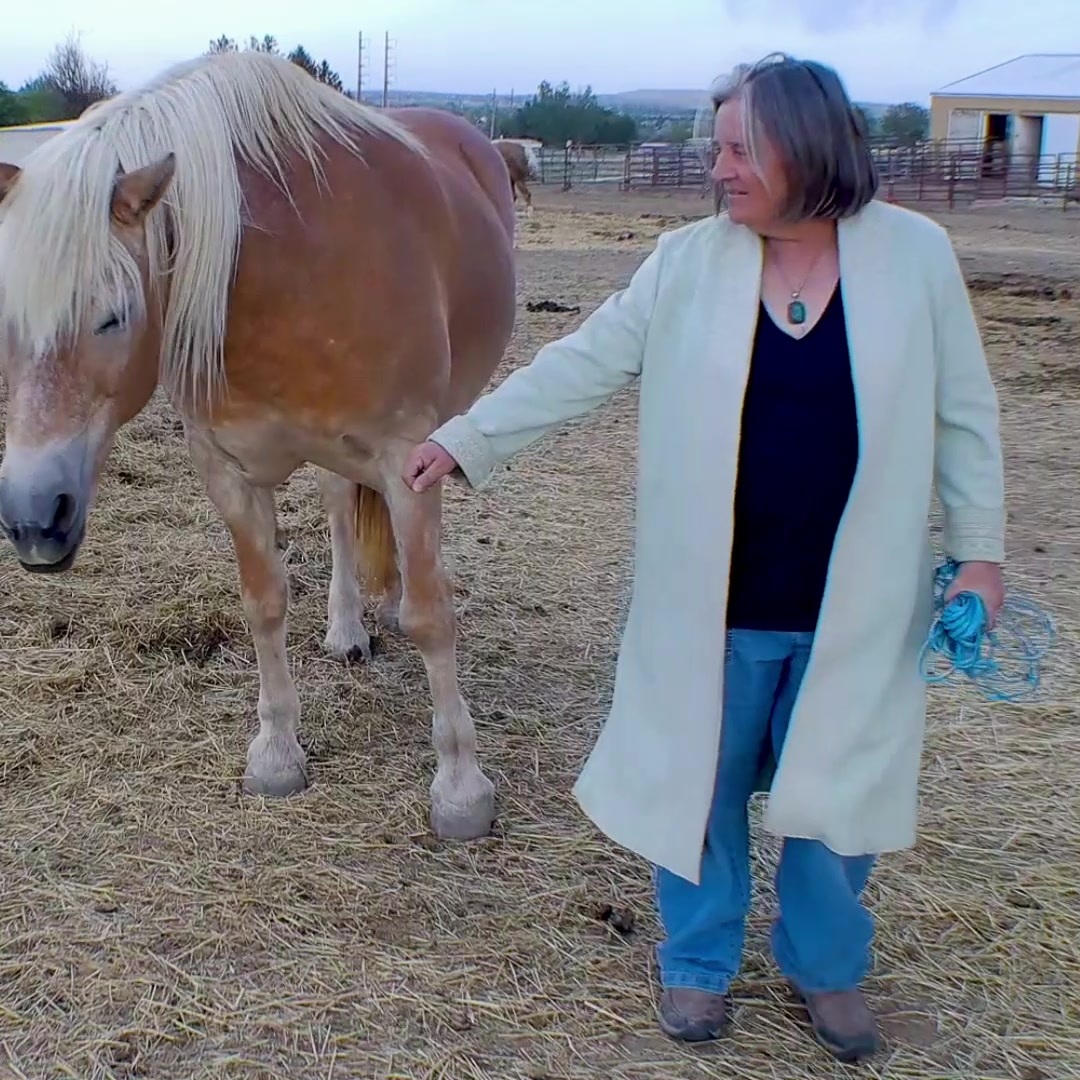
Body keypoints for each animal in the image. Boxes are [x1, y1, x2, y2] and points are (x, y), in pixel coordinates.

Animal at [0, 49, 518, 841]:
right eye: (5, 321)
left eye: (113, 316)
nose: (34, 518)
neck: (285, 278)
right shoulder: (230, 472)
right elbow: (263, 602)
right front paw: (276, 754)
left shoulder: (406, 457)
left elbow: (433, 617)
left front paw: (461, 788)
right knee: (339, 507)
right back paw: (347, 628)